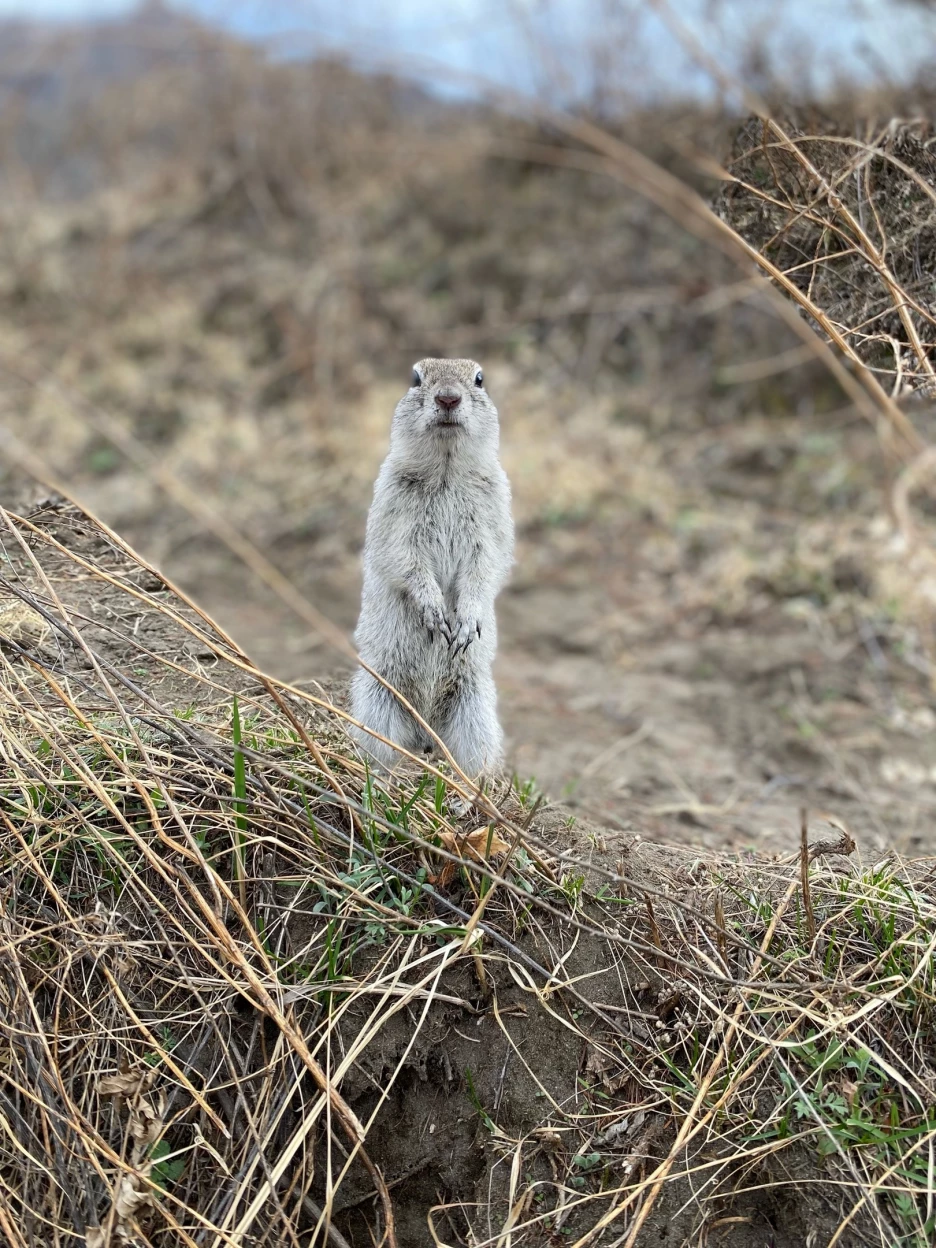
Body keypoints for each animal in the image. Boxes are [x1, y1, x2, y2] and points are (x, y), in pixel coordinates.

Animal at [349, 356, 514, 773]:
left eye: (479, 379)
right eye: (414, 378)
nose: (449, 398)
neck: (447, 470)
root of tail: (424, 727)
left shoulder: (493, 516)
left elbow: (487, 565)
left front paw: (466, 620)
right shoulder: (393, 514)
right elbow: (404, 560)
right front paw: (434, 611)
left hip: (475, 710)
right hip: (377, 699)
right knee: (380, 747)